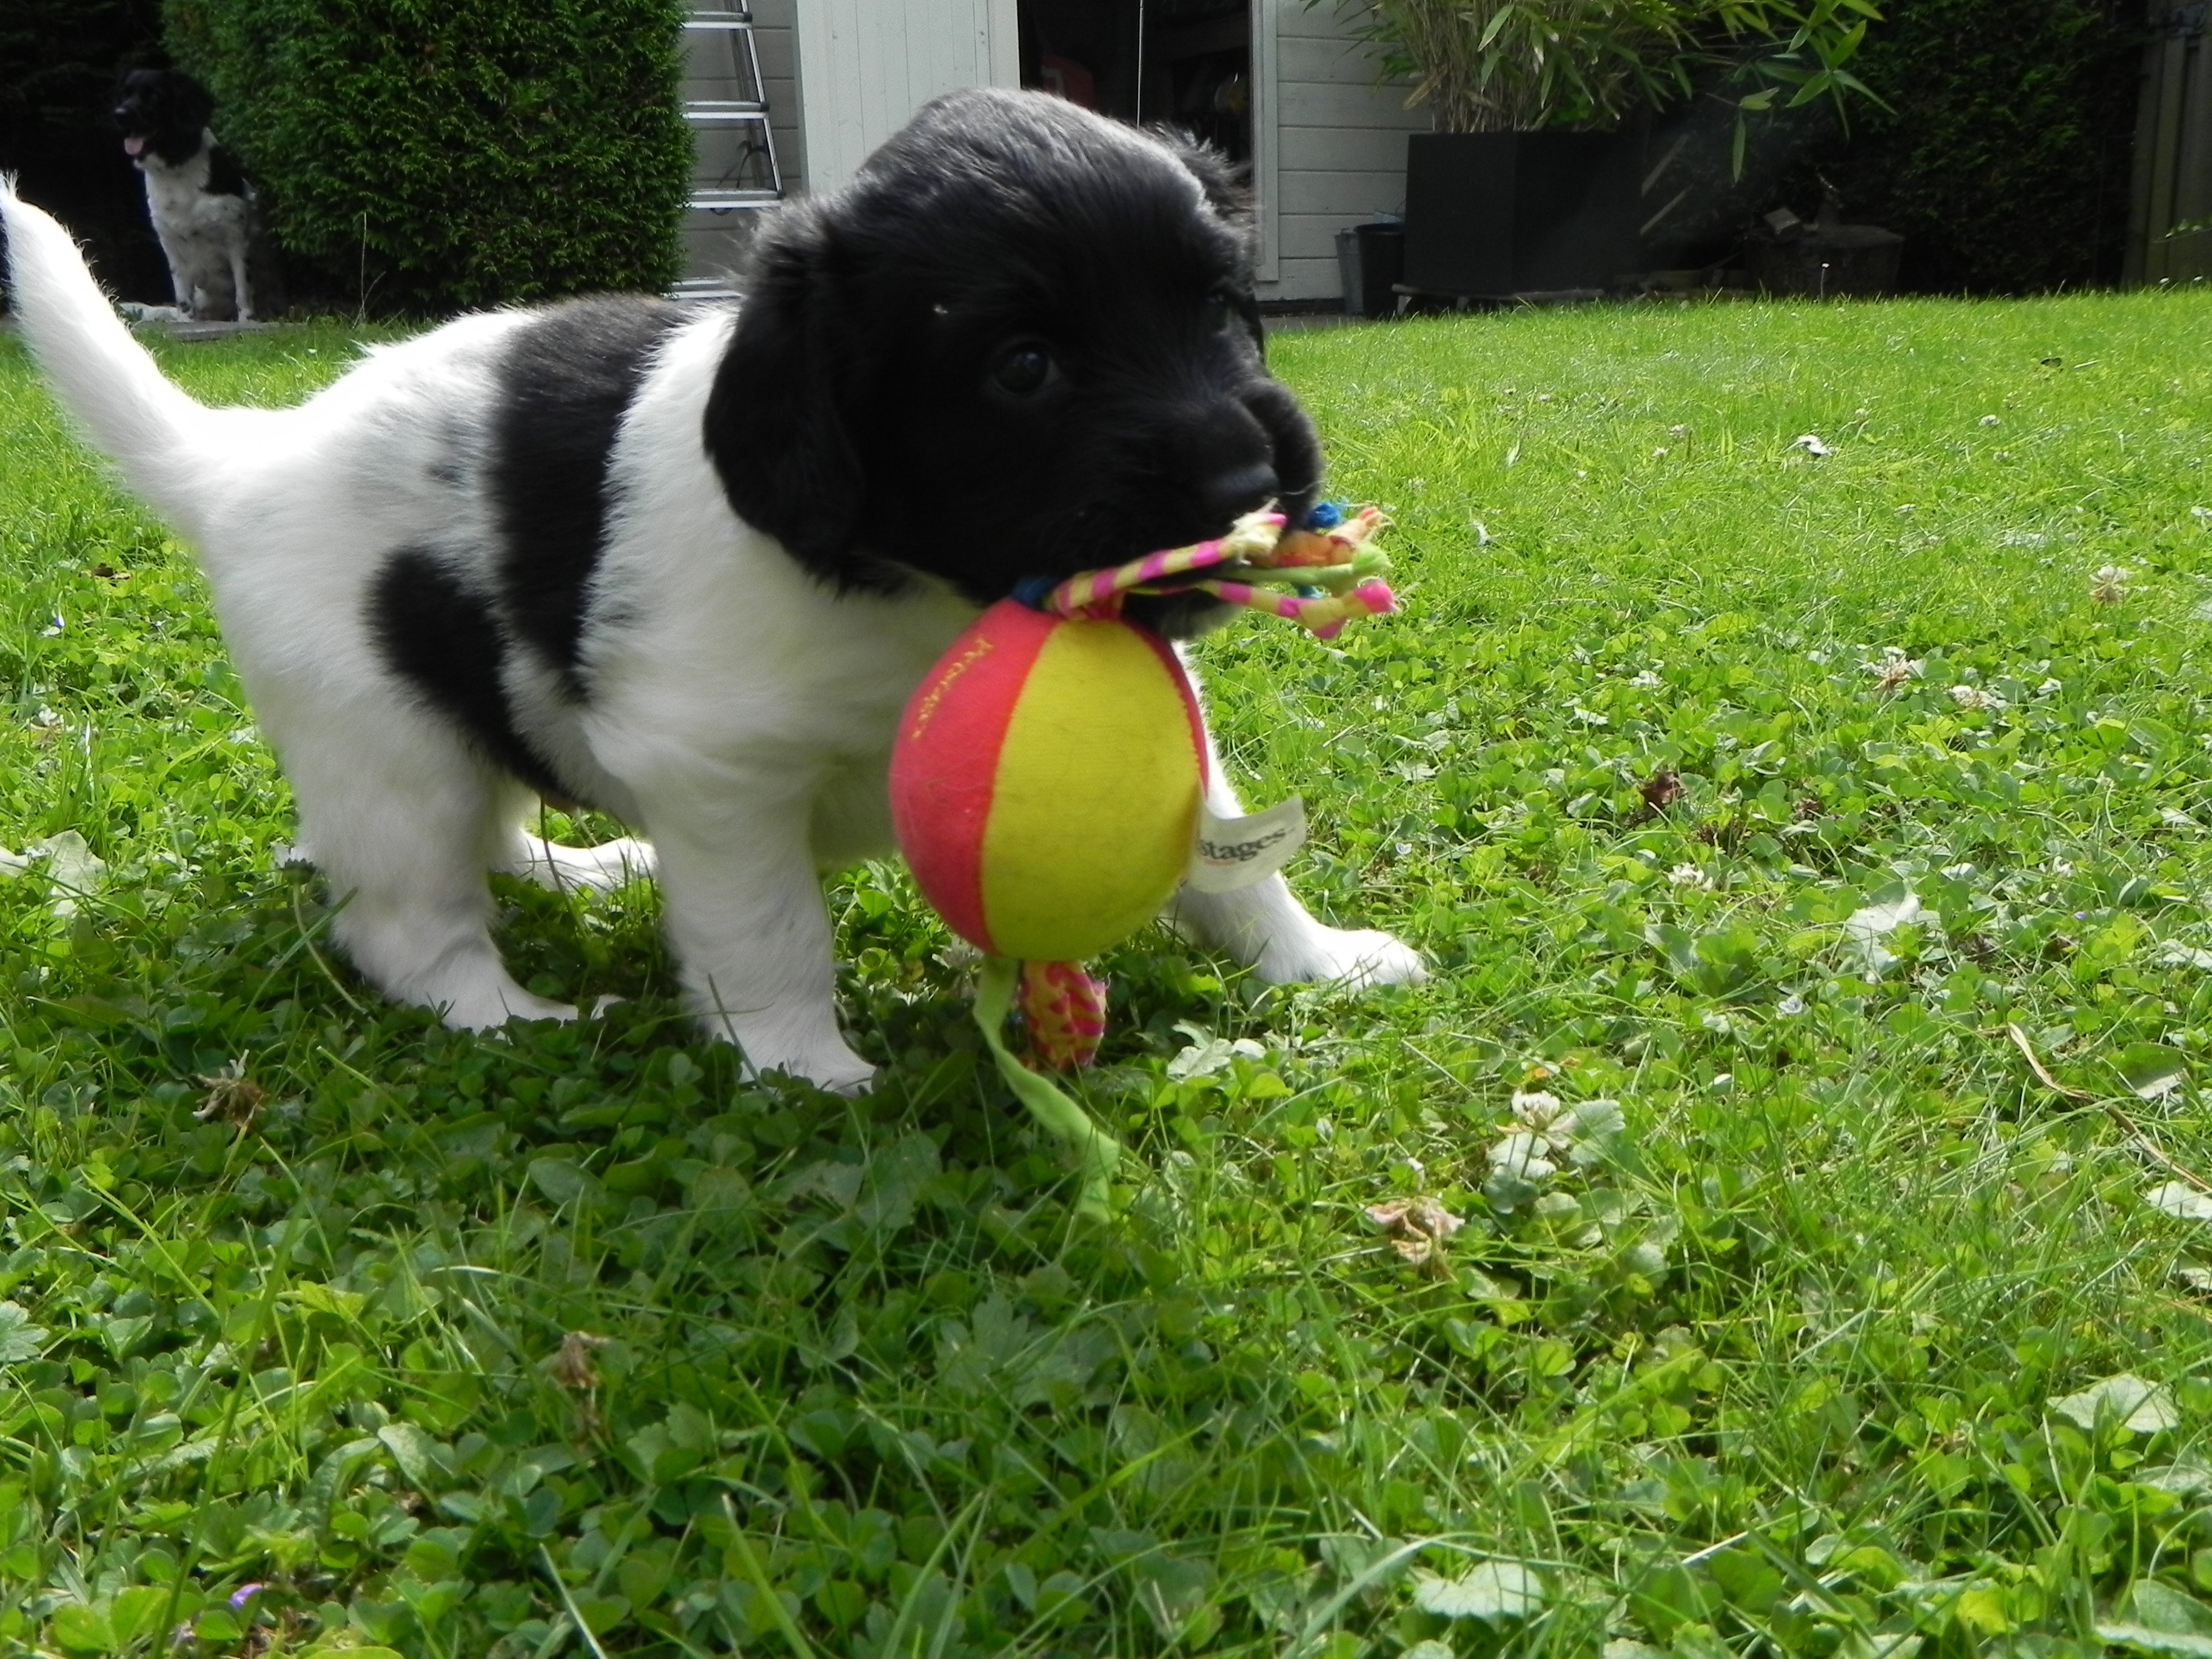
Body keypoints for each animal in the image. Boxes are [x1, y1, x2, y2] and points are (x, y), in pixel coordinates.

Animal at [112, 67, 278, 322]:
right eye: (125, 94)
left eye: (155, 95)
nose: (119, 115)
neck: (176, 169)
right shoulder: (169, 241)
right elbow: (182, 295)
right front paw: (185, 322)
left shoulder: (236, 238)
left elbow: (243, 290)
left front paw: (247, 321)